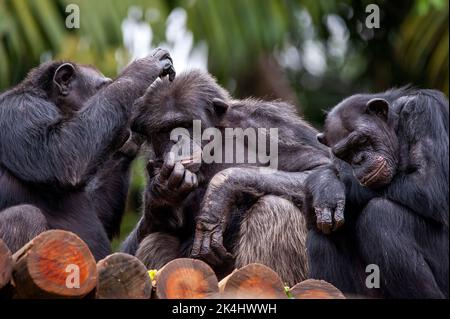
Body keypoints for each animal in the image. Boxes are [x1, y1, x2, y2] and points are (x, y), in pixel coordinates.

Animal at [0, 49, 176, 260]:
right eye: (103, 88)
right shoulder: (19, 110)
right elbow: (61, 154)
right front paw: (146, 65)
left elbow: (97, 209)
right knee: (23, 216)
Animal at [120, 70, 344, 284]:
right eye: (165, 130)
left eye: (187, 124)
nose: (178, 141)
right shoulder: (154, 162)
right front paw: (163, 193)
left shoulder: (270, 126)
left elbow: (318, 167)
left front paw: (220, 192)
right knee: (156, 239)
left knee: (274, 208)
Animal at [310, 88, 450, 300]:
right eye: (344, 154)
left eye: (361, 140)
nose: (359, 160)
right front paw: (324, 185)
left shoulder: (423, 111)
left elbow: (428, 184)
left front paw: (326, 185)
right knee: (319, 235)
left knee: (381, 215)